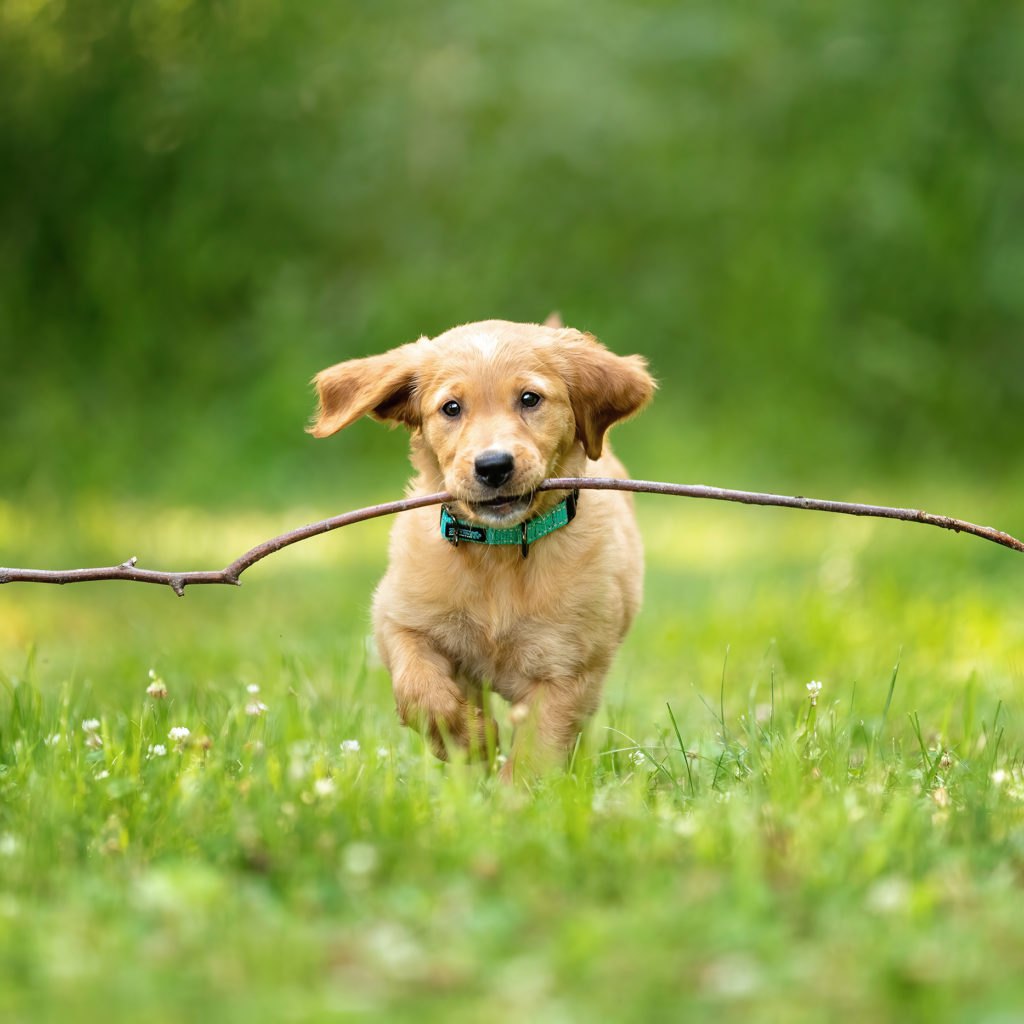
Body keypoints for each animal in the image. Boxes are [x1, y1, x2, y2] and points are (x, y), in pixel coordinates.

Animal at [307, 317, 651, 774]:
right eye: (451, 408)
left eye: (530, 399)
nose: (493, 466)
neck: (500, 552)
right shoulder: (399, 620)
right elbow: (420, 692)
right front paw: (473, 743)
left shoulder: (569, 672)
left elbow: (534, 755)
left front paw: (509, 787)